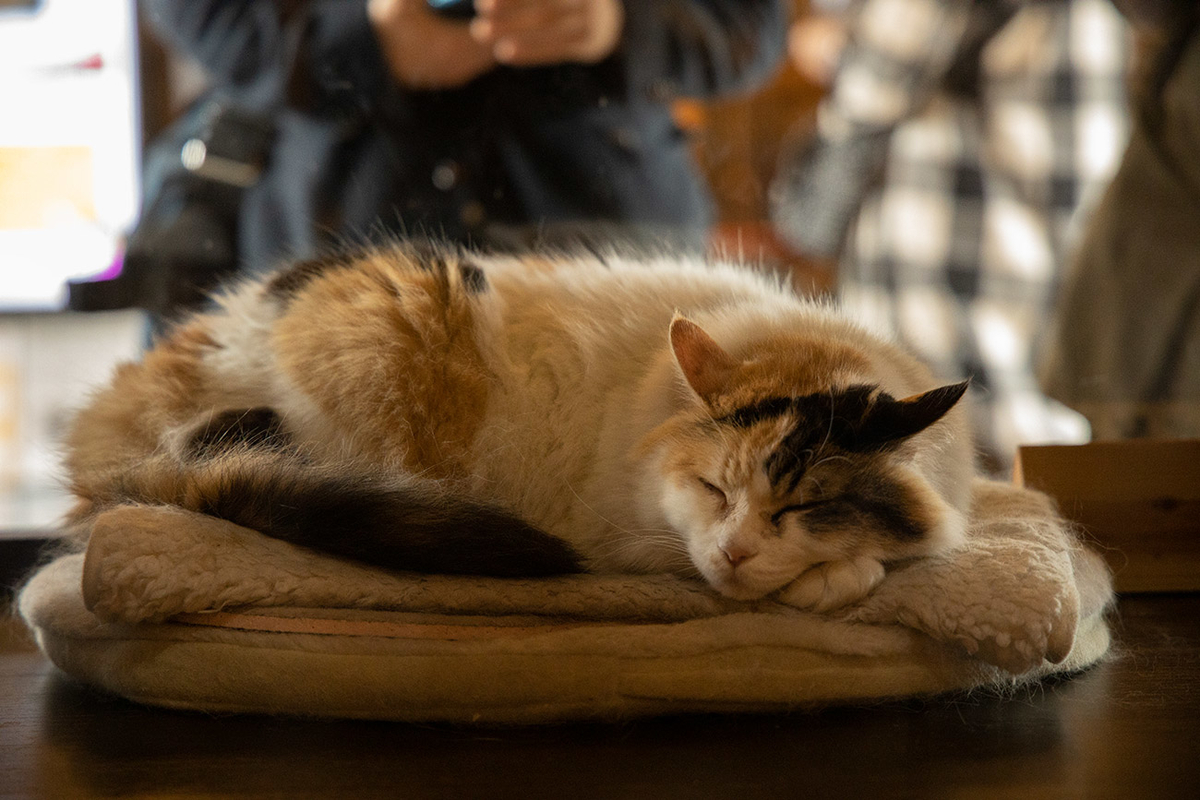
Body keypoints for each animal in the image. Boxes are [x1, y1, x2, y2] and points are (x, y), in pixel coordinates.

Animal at [65, 247, 974, 609]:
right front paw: (833, 580)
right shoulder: (630, 538)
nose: (736, 551)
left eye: (801, 508)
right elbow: (860, 569)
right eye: (714, 490)